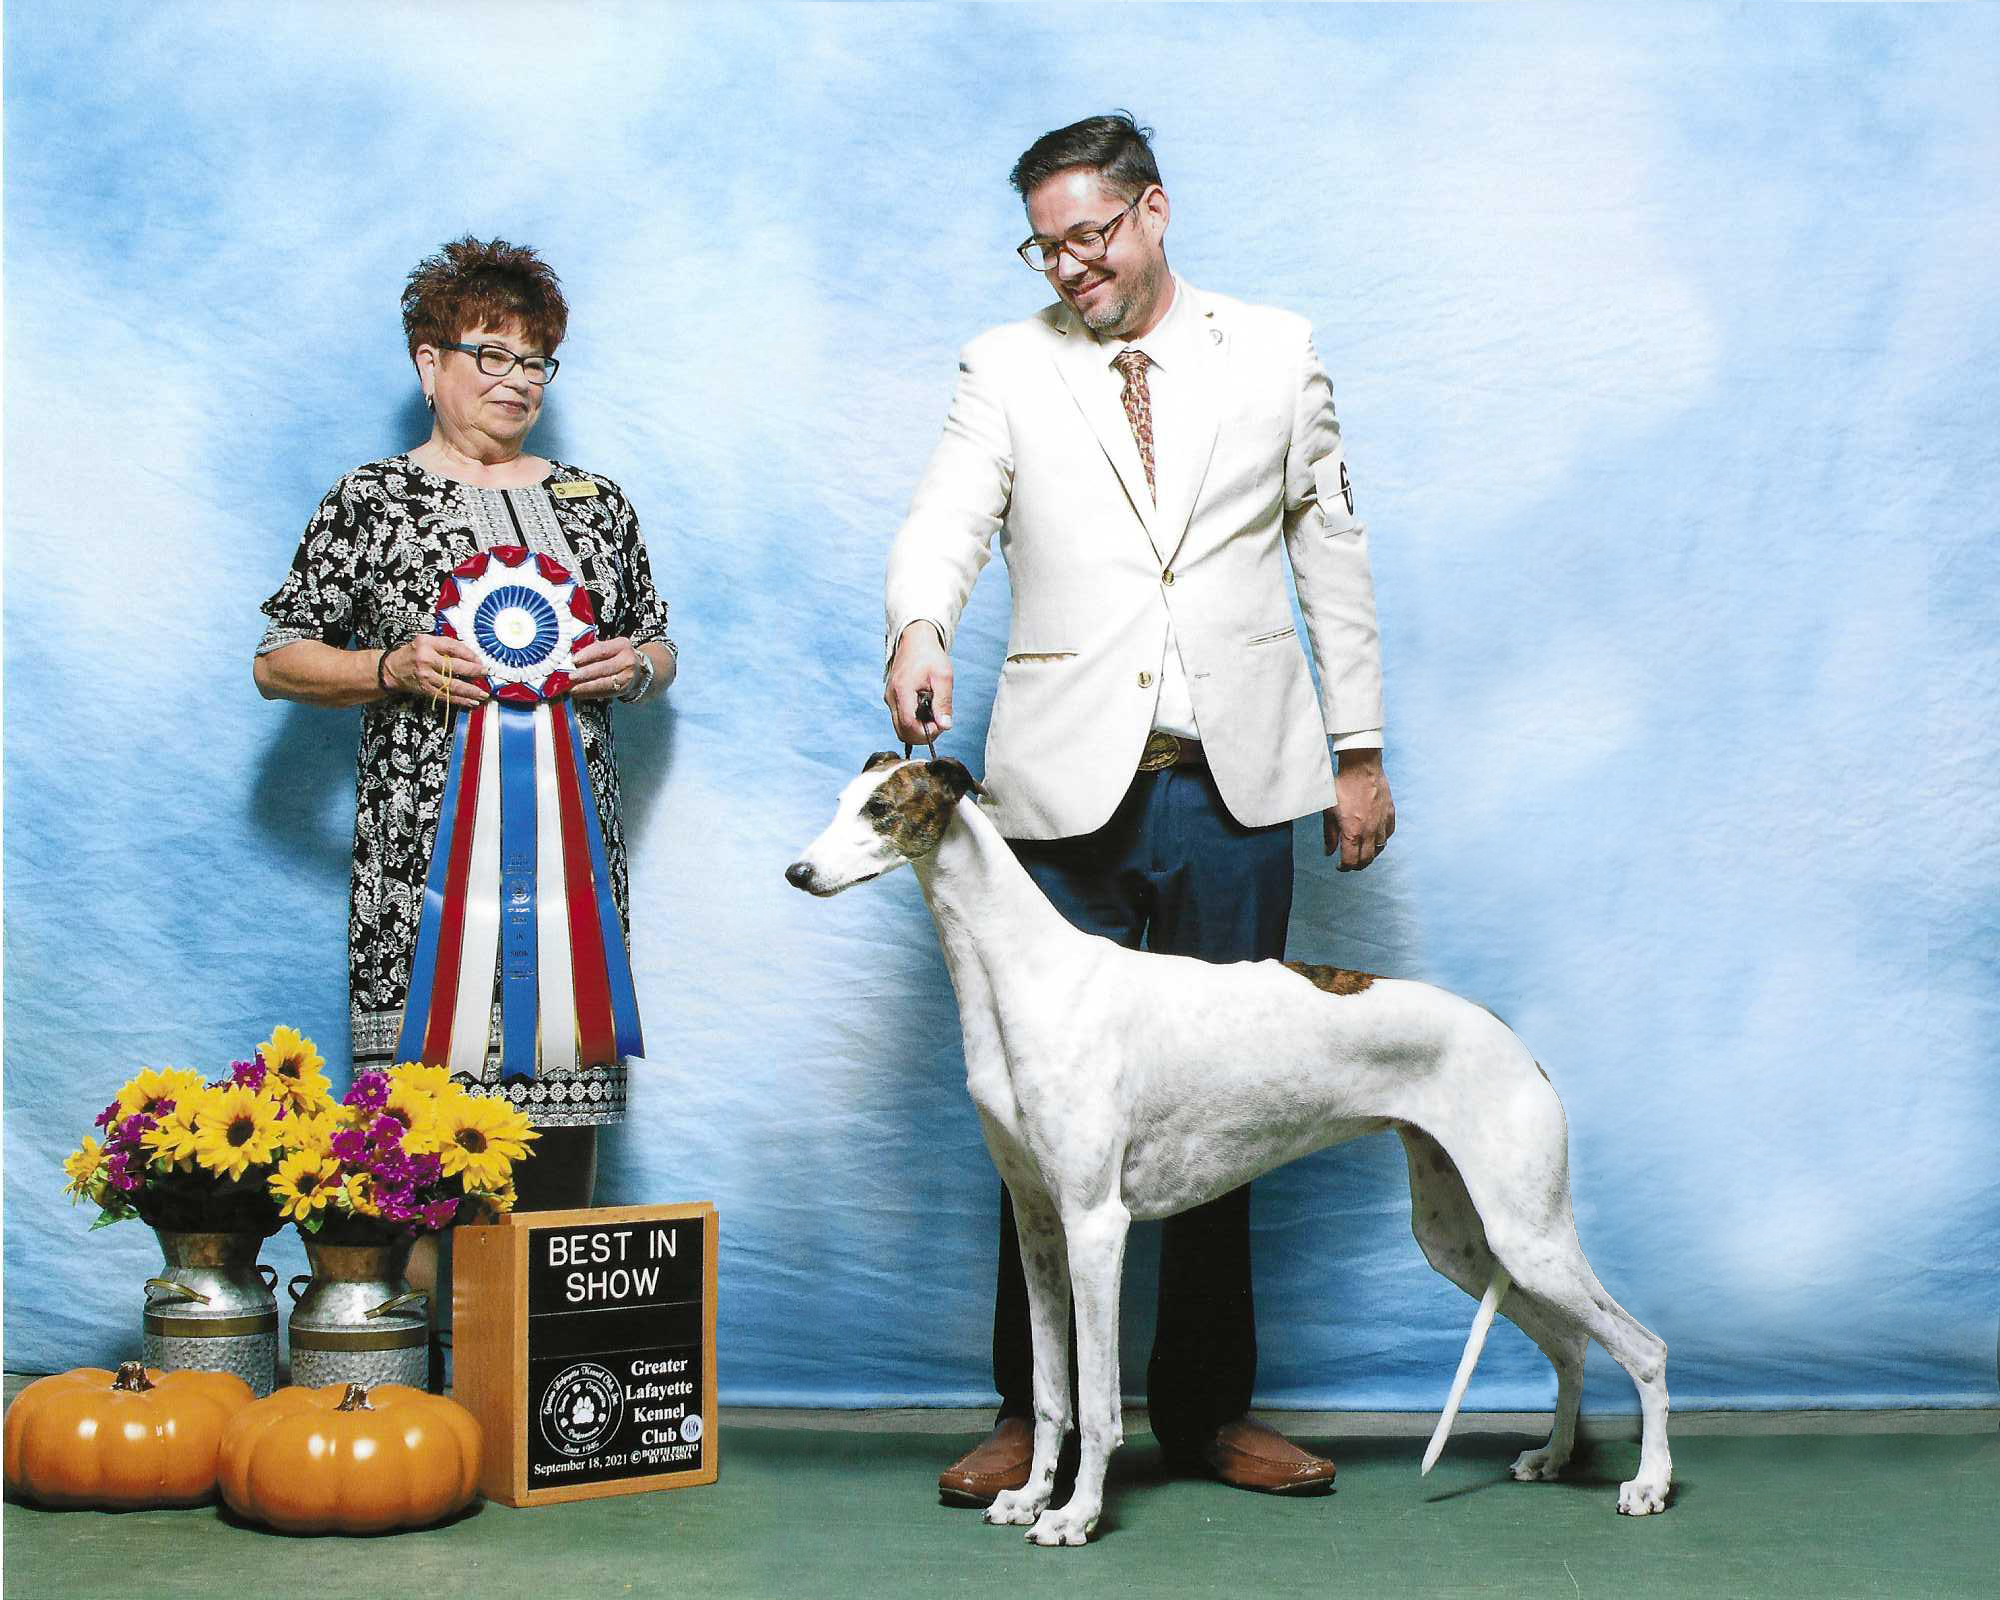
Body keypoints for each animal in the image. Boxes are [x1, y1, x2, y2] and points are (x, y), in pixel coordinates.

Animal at [780, 756, 1672, 1544]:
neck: (1025, 975)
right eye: (840, 802)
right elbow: (1050, 1390)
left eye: (880, 811)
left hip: (1530, 1234)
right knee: (1570, 1343)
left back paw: (1649, 1484)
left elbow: (1098, 1403)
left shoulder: (1095, 1226)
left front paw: (1075, 1517)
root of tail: (1519, 1047)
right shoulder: (1038, 1225)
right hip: (1461, 1238)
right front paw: (1029, 1496)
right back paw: (1553, 1457)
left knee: (1644, 1348)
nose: (797, 872)